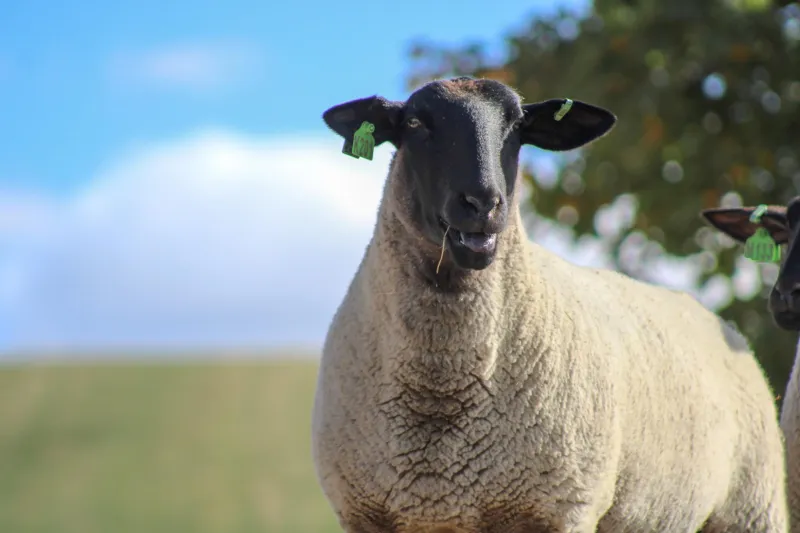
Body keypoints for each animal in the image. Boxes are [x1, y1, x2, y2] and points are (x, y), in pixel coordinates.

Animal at [311, 76, 788, 533]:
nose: (483, 203)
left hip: (751, 508)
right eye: (413, 123)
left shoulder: (562, 508)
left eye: (518, 126)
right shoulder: (367, 515)